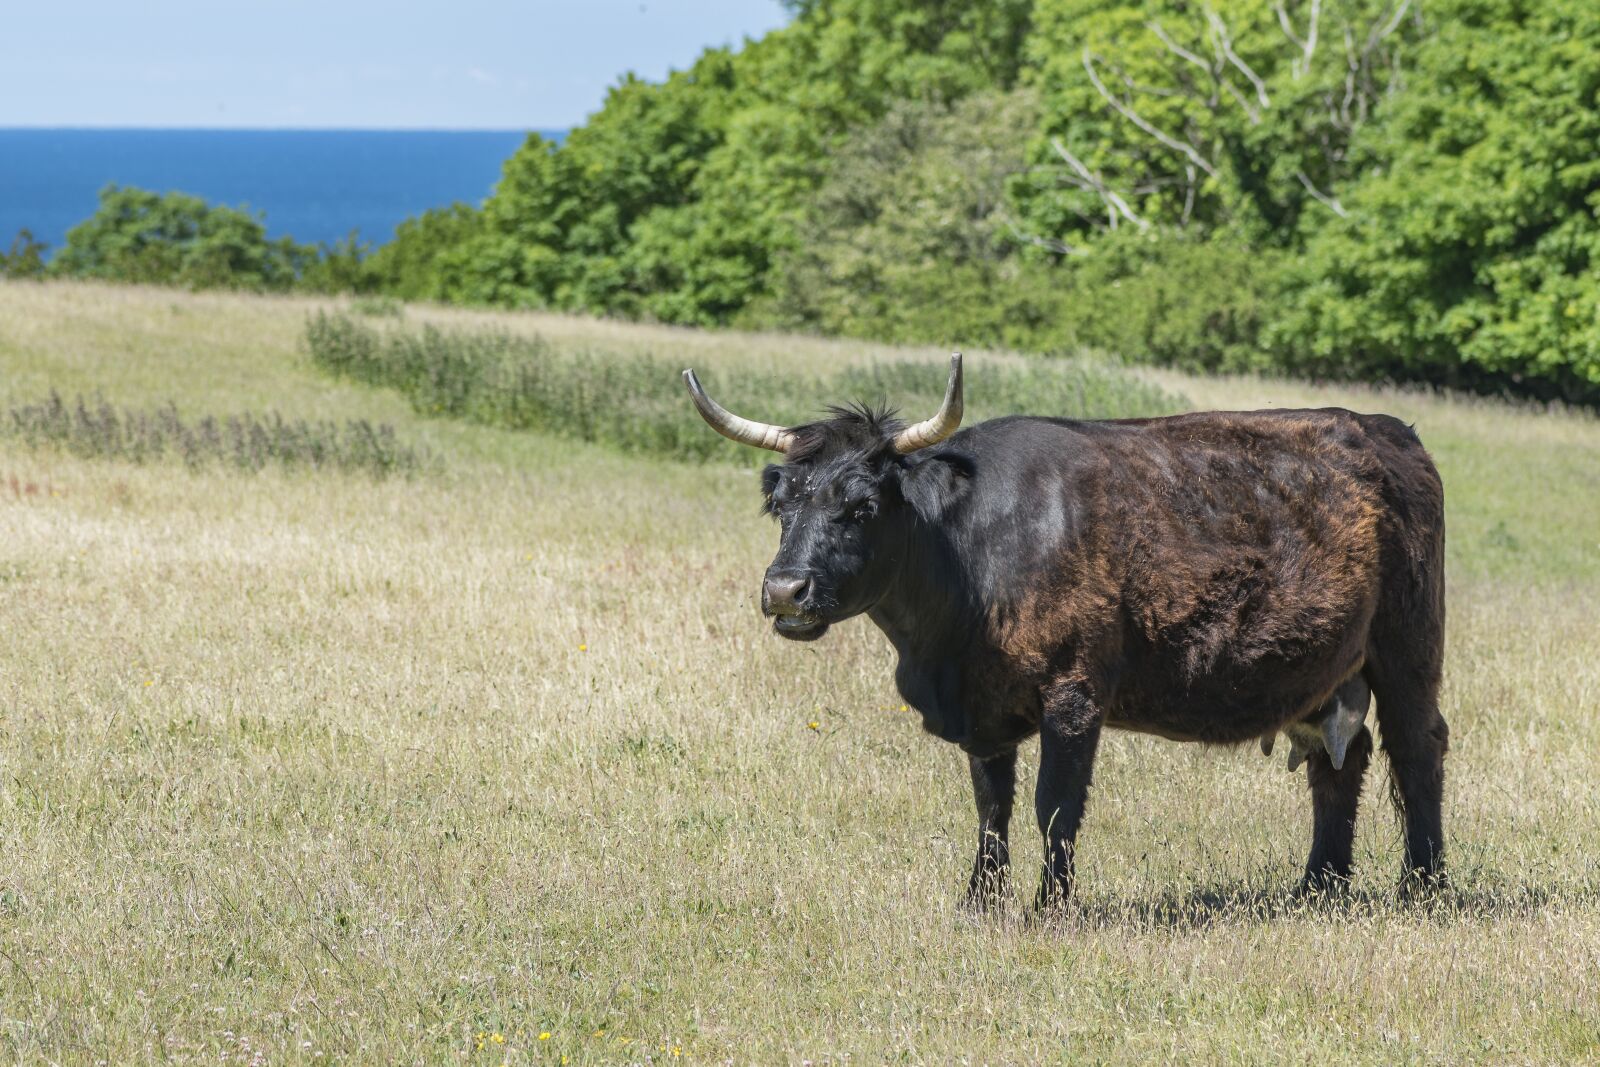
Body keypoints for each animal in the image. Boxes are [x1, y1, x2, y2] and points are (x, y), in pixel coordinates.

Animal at [682, 355, 1448, 910]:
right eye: (781, 505)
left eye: (863, 506)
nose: (785, 589)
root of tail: (1389, 431)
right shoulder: (983, 709)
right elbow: (992, 804)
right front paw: (981, 901)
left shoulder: (1074, 692)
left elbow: (1054, 806)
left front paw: (1050, 906)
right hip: (1327, 671)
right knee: (1339, 761)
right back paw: (1319, 885)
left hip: (1407, 647)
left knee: (1418, 749)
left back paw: (1424, 887)